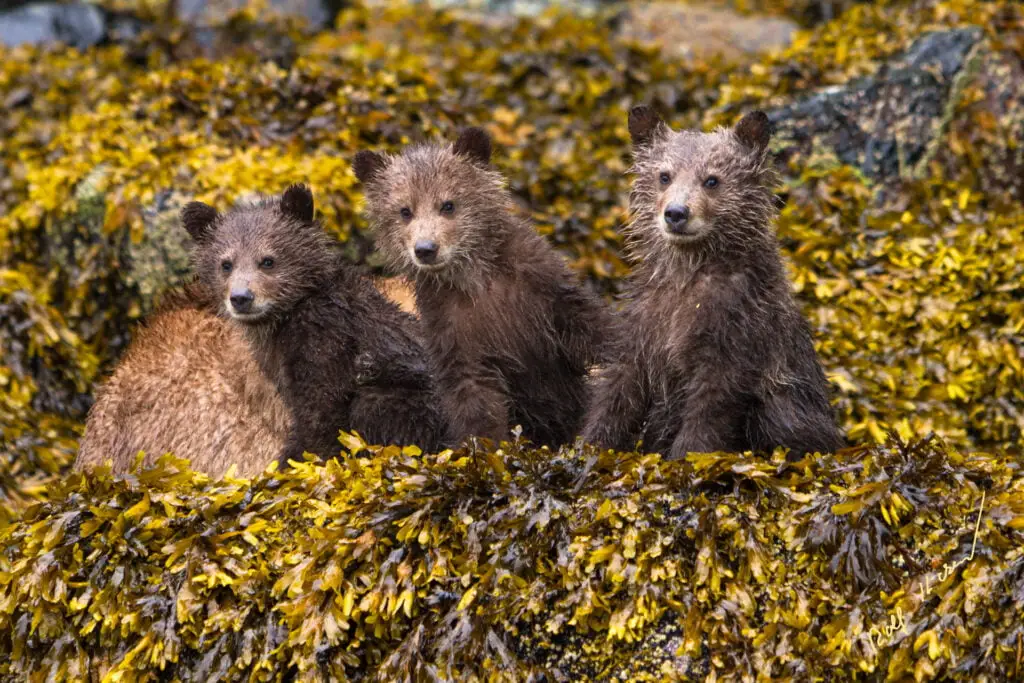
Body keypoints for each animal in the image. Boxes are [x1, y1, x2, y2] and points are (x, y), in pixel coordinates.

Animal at [353, 127, 609, 448]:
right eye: (404, 211)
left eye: (448, 204)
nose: (426, 249)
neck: (474, 278)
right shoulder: (452, 326)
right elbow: (475, 396)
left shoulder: (541, 285)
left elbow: (588, 323)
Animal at [582, 106, 843, 459]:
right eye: (664, 175)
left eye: (712, 179)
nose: (676, 213)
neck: (688, 277)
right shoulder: (647, 320)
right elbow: (620, 386)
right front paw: (586, 445)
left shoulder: (737, 327)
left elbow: (713, 404)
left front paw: (686, 457)